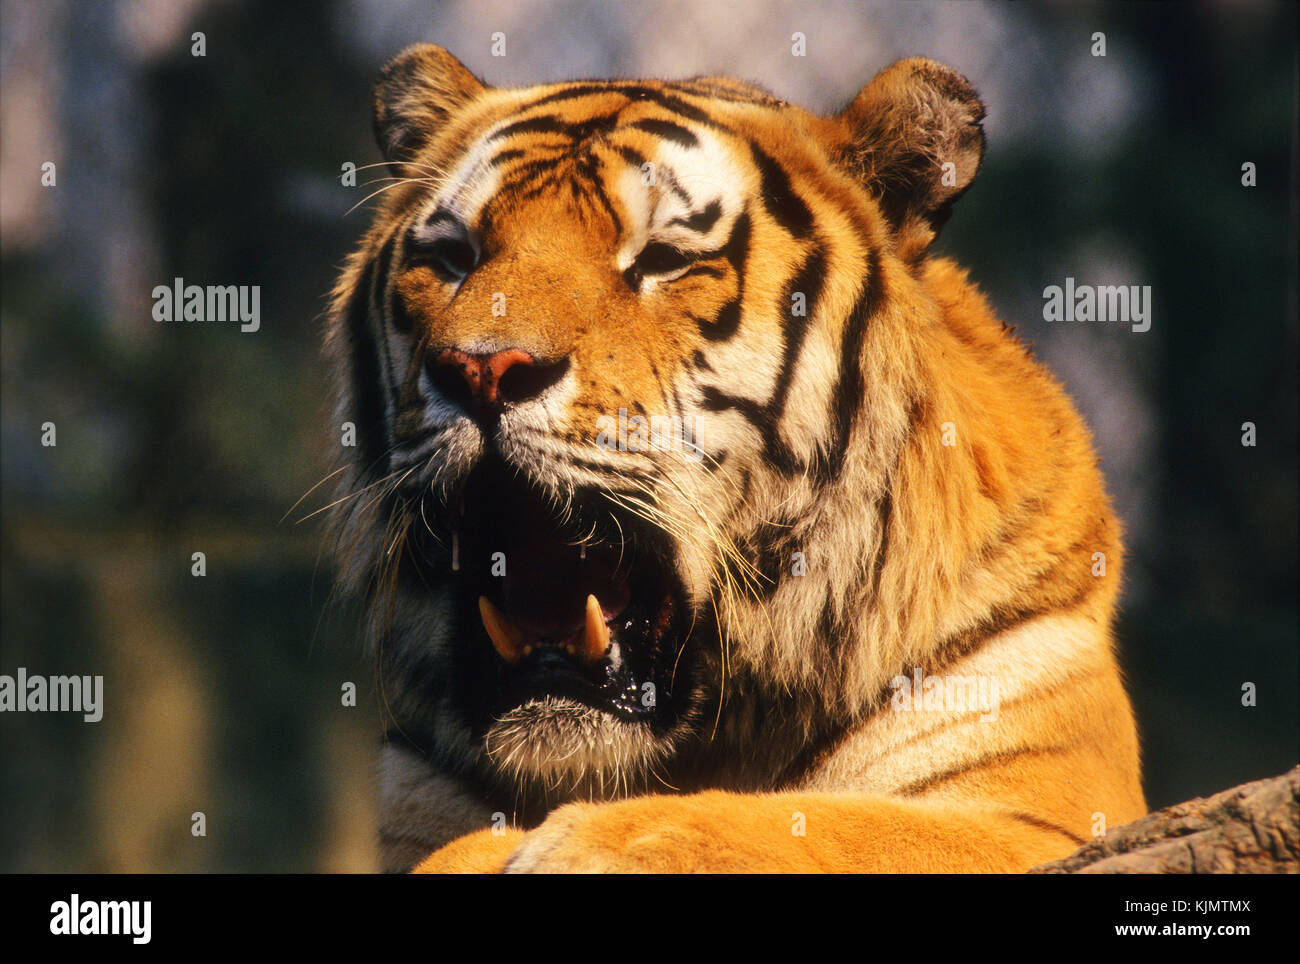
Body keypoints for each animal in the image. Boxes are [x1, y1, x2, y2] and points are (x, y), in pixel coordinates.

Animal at [323, 43, 1147, 873]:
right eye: (453, 257)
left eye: (661, 260)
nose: (482, 370)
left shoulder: (1040, 814)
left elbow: (823, 824)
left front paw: (604, 839)